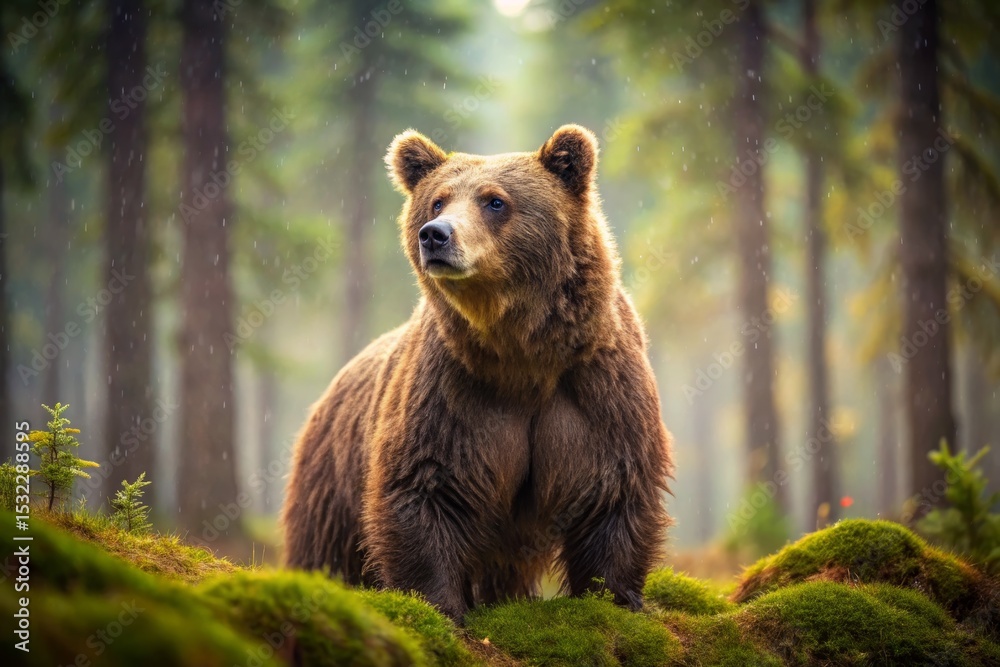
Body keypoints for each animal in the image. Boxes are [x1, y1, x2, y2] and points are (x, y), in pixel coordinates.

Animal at [281, 125, 673, 621]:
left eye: (495, 201)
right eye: (437, 201)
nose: (435, 235)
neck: (522, 353)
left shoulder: (597, 387)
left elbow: (612, 488)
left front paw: (616, 598)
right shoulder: (453, 391)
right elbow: (426, 484)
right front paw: (441, 603)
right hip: (333, 473)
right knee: (327, 549)